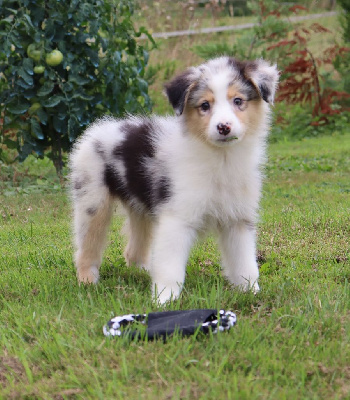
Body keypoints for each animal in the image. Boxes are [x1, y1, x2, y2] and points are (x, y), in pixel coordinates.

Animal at [69, 56, 278, 304]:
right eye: (205, 105)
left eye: (238, 101)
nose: (224, 127)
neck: (221, 160)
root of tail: (98, 128)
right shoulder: (177, 218)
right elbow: (170, 266)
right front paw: (164, 299)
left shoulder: (238, 219)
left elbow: (244, 262)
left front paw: (250, 291)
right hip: (92, 200)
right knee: (87, 246)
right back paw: (87, 280)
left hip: (140, 208)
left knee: (133, 249)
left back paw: (143, 271)